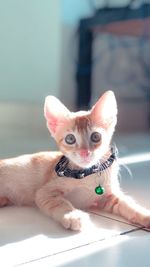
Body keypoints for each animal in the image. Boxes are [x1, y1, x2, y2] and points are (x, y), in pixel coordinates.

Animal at [0, 91, 150, 231]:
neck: (88, 174)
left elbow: (127, 204)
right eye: (70, 139)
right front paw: (73, 215)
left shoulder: (109, 196)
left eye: (96, 136)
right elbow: (60, 203)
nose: (84, 152)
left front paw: (144, 214)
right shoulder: (45, 192)